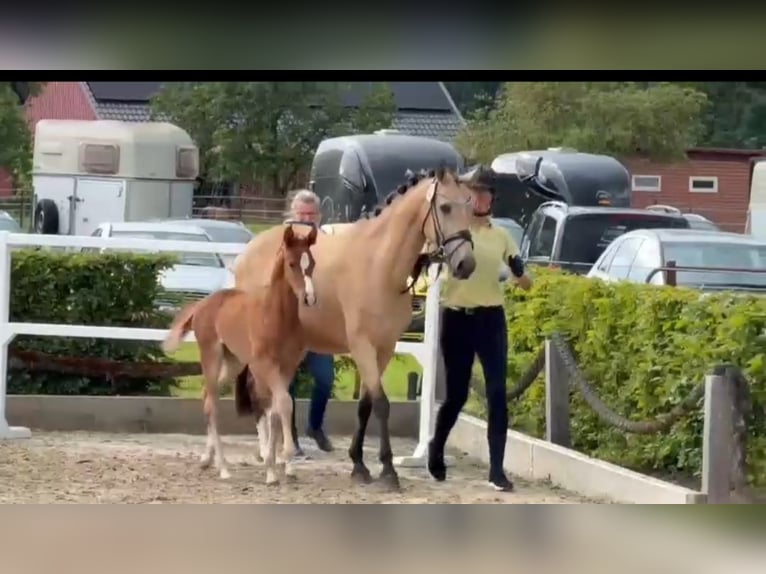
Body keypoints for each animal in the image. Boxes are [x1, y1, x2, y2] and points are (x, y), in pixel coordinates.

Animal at [162, 223, 318, 486]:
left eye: (313, 263)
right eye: (291, 263)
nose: (309, 298)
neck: (276, 316)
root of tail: (202, 305)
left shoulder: (288, 367)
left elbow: (277, 409)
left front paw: (274, 467)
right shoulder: (266, 365)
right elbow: (283, 403)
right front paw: (281, 460)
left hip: (233, 362)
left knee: (207, 395)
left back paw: (207, 459)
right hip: (211, 356)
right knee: (212, 404)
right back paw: (224, 468)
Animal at [232, 166, 477, 491]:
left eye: (470, 207)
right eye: (446, 207)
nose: (466, 264)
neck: (379, 265)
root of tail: (245, 254)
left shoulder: (383, 348)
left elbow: (365, 404)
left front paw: (359, 464)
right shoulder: (362, 345)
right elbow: (382, 404)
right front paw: (387, 470)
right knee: (259, 391)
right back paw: (267, 455)